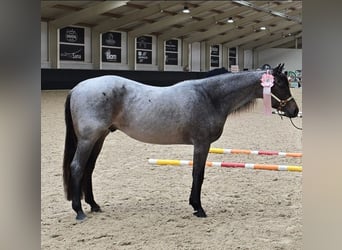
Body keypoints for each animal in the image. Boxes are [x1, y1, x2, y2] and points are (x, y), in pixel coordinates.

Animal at [64, 63, 300, 220]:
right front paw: (198, 208)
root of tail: (77, 88)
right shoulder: (202, 143)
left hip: (99, 138)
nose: (294, 110)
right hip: (88, 139)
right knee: (77, 167)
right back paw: (79, 211)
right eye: (280, 84)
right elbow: (198, 174)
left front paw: (195, 206)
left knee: (88, 168)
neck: (209, 97)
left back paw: (94, 205)